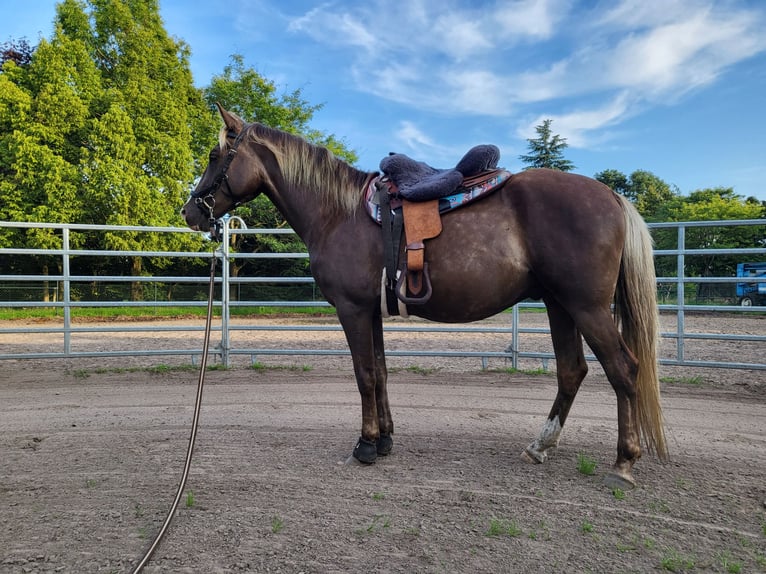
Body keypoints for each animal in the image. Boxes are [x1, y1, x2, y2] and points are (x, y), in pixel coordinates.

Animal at [181, 105, 667, 488]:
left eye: (214, 155)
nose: (189, 212)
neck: (337, 213)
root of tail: (611, 195)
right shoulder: (371, 312)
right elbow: (380, 372)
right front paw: (385, 439)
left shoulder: (352, 311)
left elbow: (364, 375)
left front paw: (365, 445)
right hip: (559, 305)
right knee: (572, 371)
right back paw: (539, 446)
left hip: (586, 307)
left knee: (623, 370)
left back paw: (623, 462)